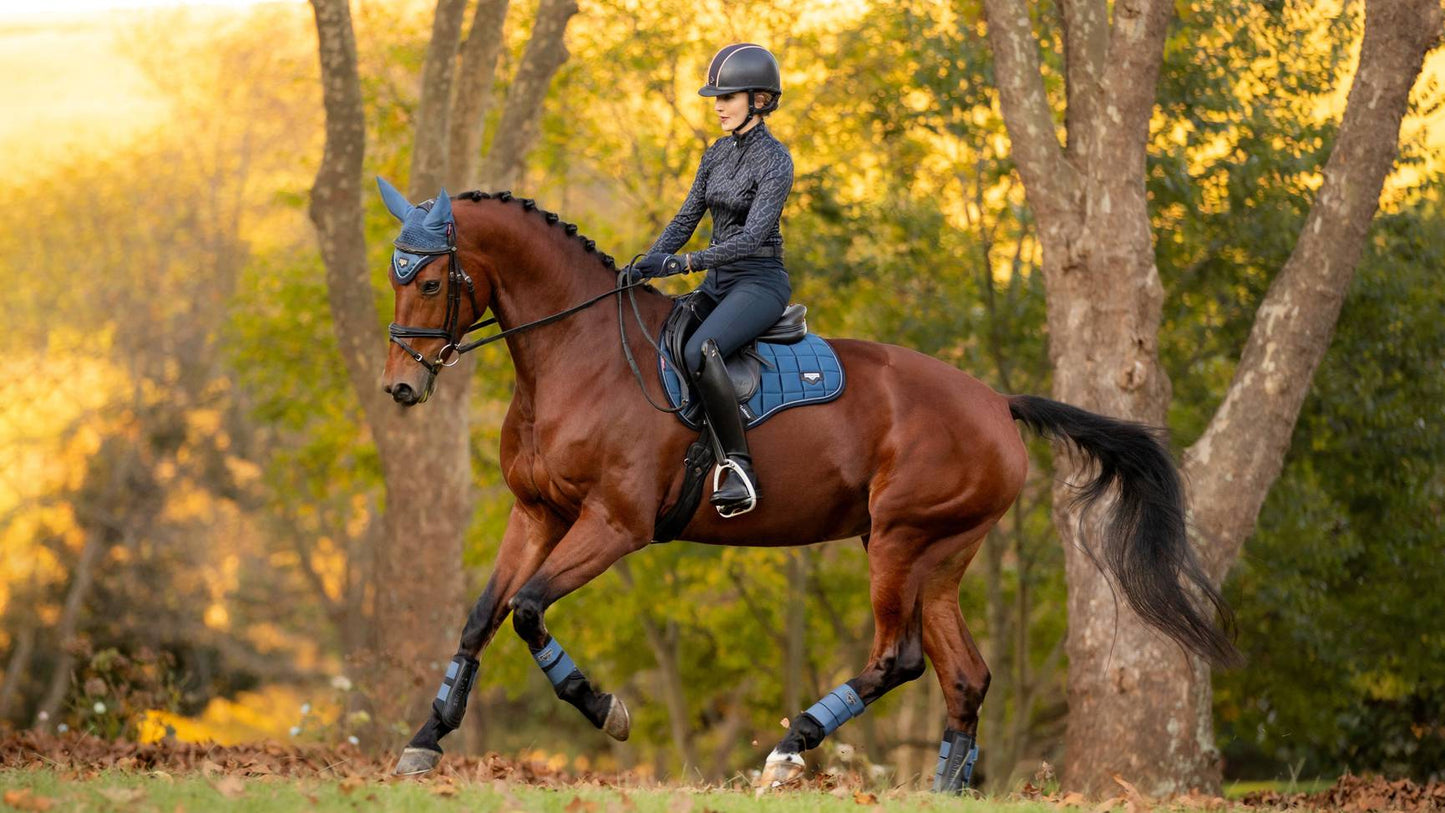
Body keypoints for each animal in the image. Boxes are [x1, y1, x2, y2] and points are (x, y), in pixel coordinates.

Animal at [372, 186, 1231, 797]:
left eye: (434, 279)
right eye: (396, 276)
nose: (401, 387)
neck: (578, 356)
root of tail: (995, 402)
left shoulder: (613, 523)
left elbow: (526, 609)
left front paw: (604, 708)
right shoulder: (538, 513)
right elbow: (483, 616)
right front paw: (424, 738)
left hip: (899, 540)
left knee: (897, 657)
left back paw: (789, 750)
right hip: (937, 552)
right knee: (963, 673)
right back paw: (943, 786)